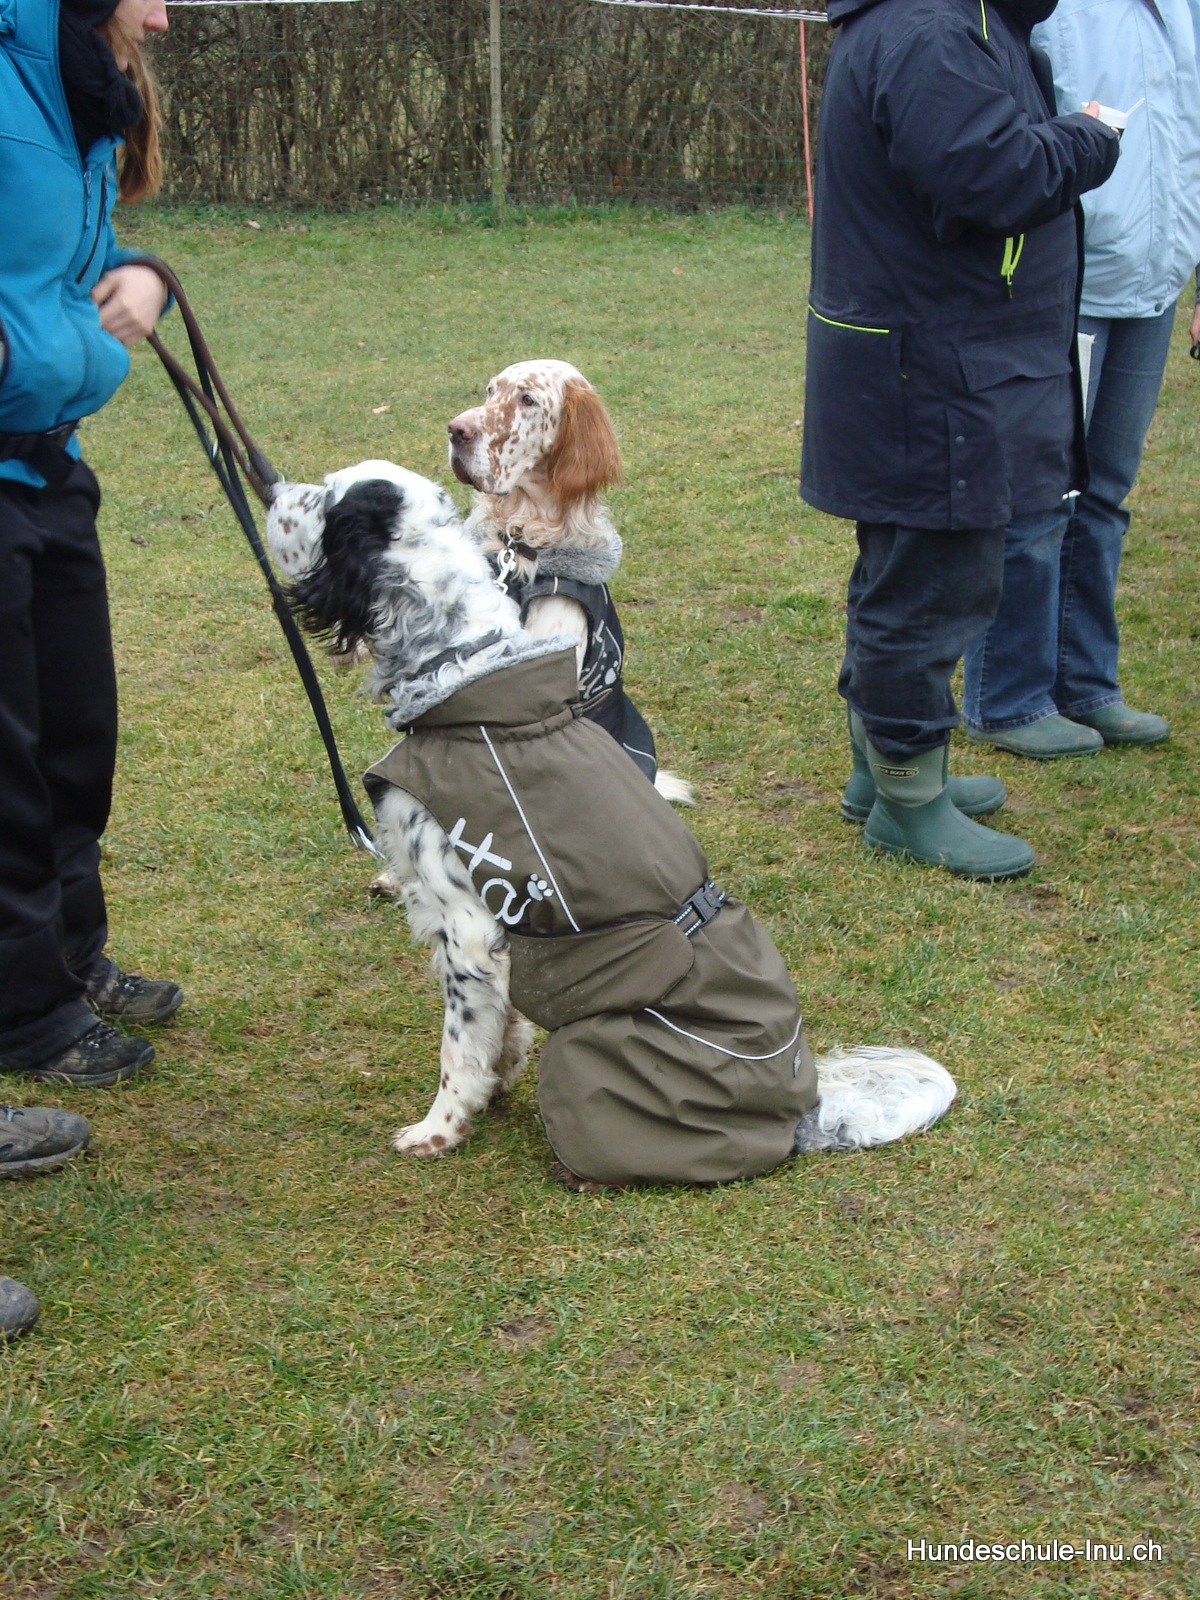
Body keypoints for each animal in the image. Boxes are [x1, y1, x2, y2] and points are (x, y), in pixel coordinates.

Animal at [267, 460, 956, 1187]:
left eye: (325, 497)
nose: (270, 488)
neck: (466, 668)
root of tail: (804, 1111)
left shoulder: (464, 921)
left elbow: (458, 1046)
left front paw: (439, 1129)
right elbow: (501, 1023)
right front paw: (499, 1076)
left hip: (591, 1054)